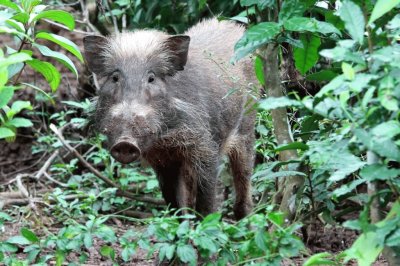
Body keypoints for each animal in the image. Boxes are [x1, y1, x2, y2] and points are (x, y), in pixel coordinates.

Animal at [83, 18, 255, 218]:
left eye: (151, 78)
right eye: (115, 78)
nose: (125, 143)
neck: (166, 138)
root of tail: (235, 26)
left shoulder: (206, 149)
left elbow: (206, 199)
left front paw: (206, 222)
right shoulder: (163, 160)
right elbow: (173, 201)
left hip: (247, 125)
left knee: (244, 171)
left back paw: (244, 217)